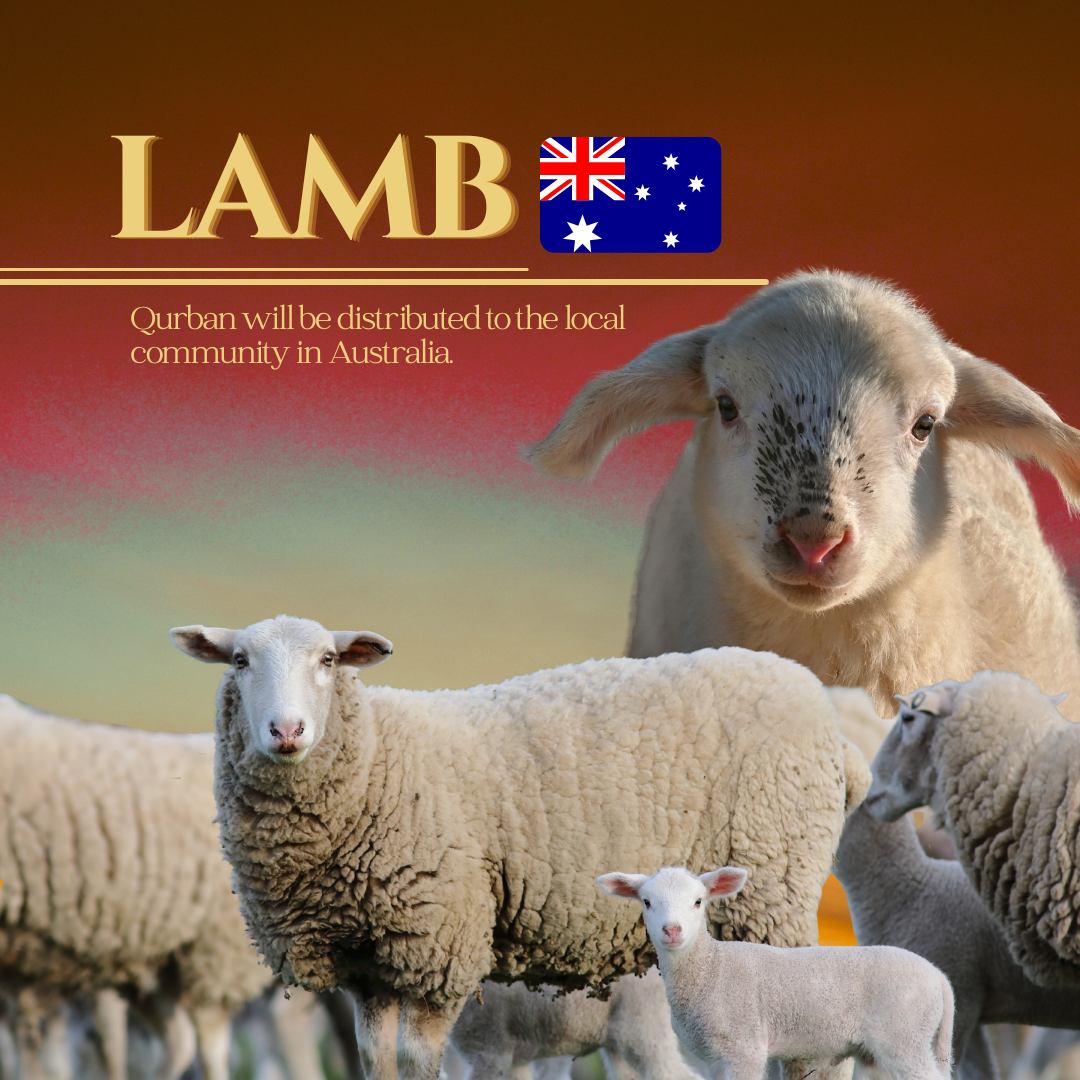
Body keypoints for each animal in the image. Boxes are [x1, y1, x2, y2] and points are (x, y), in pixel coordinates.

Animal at [596, 865, 953, 1080]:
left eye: (698, 901)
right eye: (646, 902)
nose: (672, 931)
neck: (711, 968)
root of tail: (939, 977)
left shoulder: (745, 1048)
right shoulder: (713, 1057)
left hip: (903, 1036)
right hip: (885, 1050)